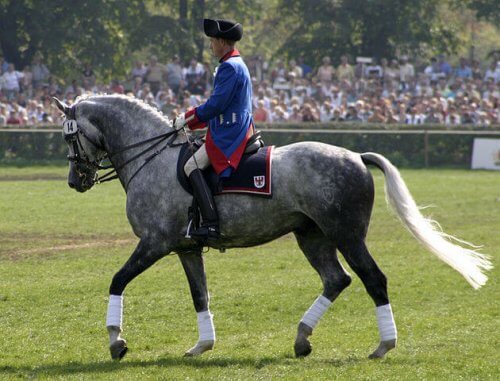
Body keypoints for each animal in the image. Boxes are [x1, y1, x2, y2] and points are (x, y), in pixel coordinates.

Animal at [52, 94, 490, 360]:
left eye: (70, 139)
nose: (75, 181)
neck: (152, 157)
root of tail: (354, 156)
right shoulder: (186, 248)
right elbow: (200, 295)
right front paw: (203, 344)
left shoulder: (154, 243)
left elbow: (117, 280)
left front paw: (116, 340)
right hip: (311, 236)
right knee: (336, 279)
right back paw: (302, 337)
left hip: (346, 235)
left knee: (373, 279)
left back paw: (384, 344)